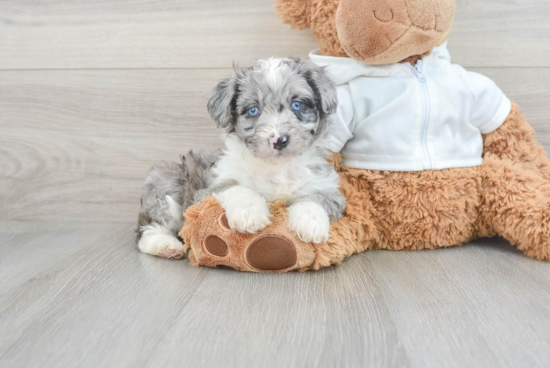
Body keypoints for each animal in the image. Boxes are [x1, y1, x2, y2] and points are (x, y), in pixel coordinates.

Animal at [136, 57, 348, 258]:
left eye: (297, 105)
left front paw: (310, 222)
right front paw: (249, 212)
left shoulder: (328, 188)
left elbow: (315, 198)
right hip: (166, 185)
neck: (275, 167)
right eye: (253, 110)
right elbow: (238, 188)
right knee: (147, 229)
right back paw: (166, 245)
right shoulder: (207, 190)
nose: (279, 140)